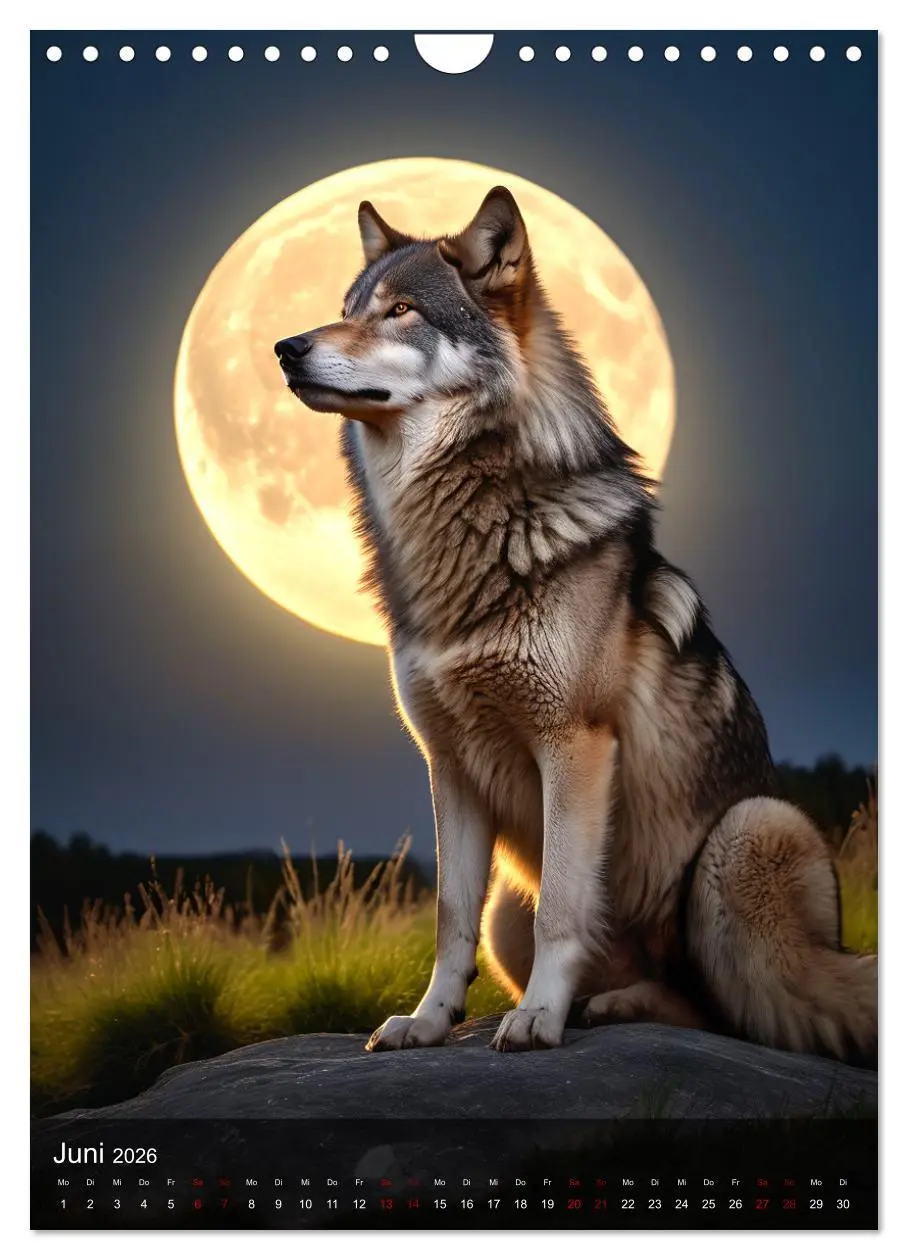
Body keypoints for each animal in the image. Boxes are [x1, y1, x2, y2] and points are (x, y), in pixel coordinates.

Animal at [275, 187, 877, 1063]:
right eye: (347, 309)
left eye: (401, 311)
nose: (285, 347)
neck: (462, 534)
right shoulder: (449, 765)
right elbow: (448, 920)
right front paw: (428, 1021)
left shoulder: (575, 743)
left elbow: (564, 905)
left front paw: (536, 1019)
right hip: (509, 904)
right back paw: (606, 1002)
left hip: (745, 836)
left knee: (728, 1009)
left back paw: (608, 1006)